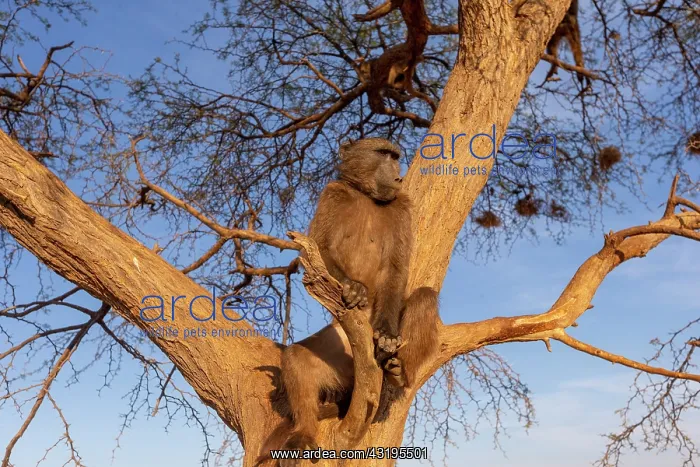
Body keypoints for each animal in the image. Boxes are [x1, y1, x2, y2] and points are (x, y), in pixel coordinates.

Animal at [275, 138, 440, 460]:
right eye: (383, 154)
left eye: (395, 157)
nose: (398, 178)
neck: (366, 195)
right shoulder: (332, 193)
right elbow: (317, 247)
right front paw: (353, 287)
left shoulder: (402, 207)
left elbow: (396, 268)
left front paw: (387, 335)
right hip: (341, 350)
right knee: (297, 357)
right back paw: (303, 436)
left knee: (425, 298)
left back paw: (399, 374)